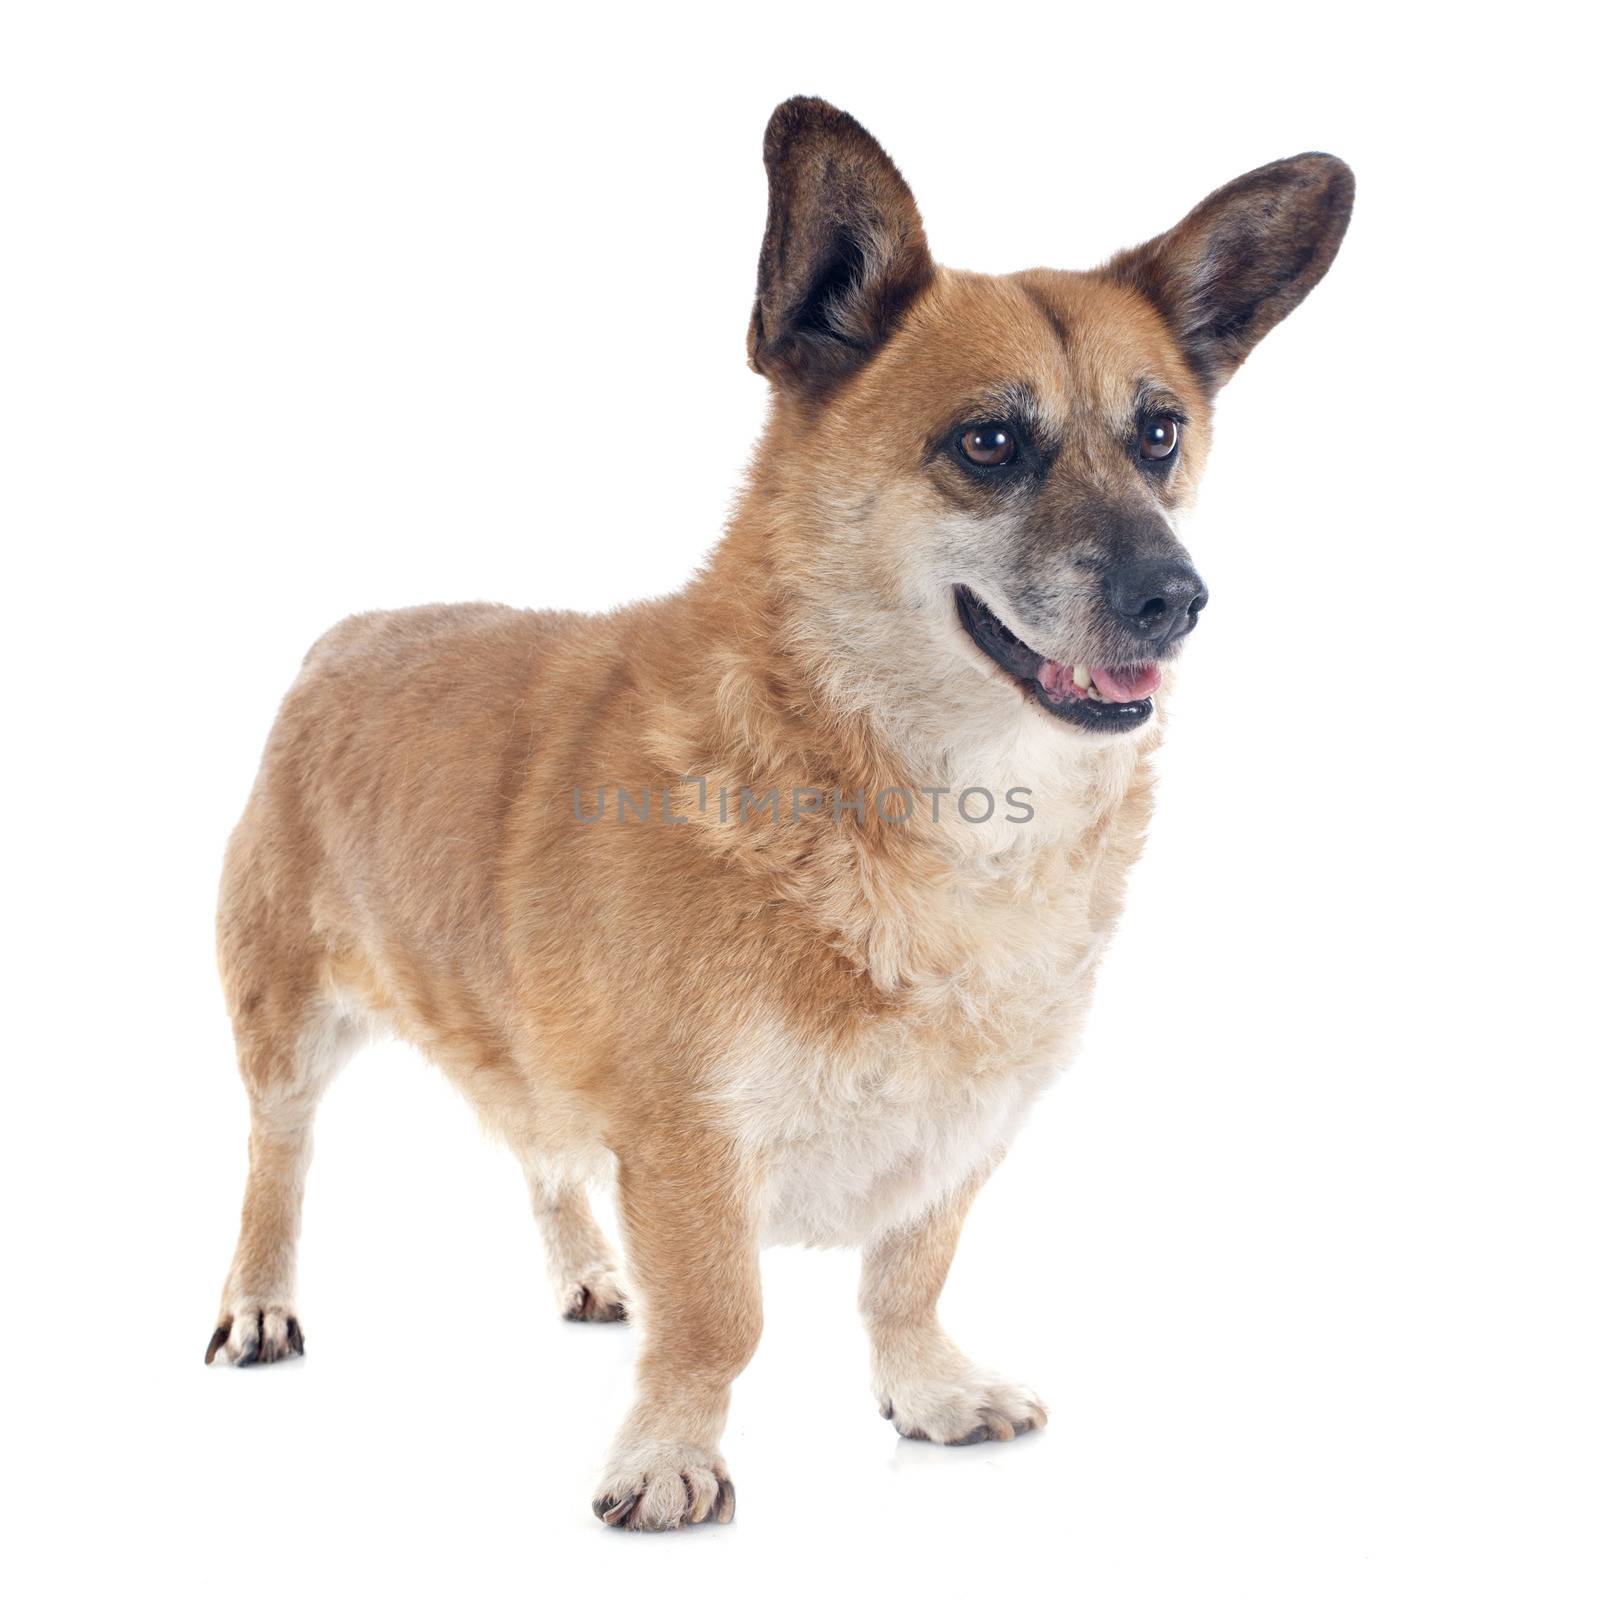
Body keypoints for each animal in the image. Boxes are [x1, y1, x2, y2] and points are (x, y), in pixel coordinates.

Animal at [203, 96, 1350, 1523]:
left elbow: (908, 1276)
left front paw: (926, 1389)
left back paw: (586, 1270)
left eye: (1158, 434)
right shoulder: (686, 1135)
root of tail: (346, 635)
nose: (1177, 598)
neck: (923, 794)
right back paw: (260, 1301)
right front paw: (668, 1454)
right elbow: (719, 1316)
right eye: (988, 443)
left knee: (538, 1150)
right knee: (279, 1159)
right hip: (285, 1023)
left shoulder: (960, 1130)